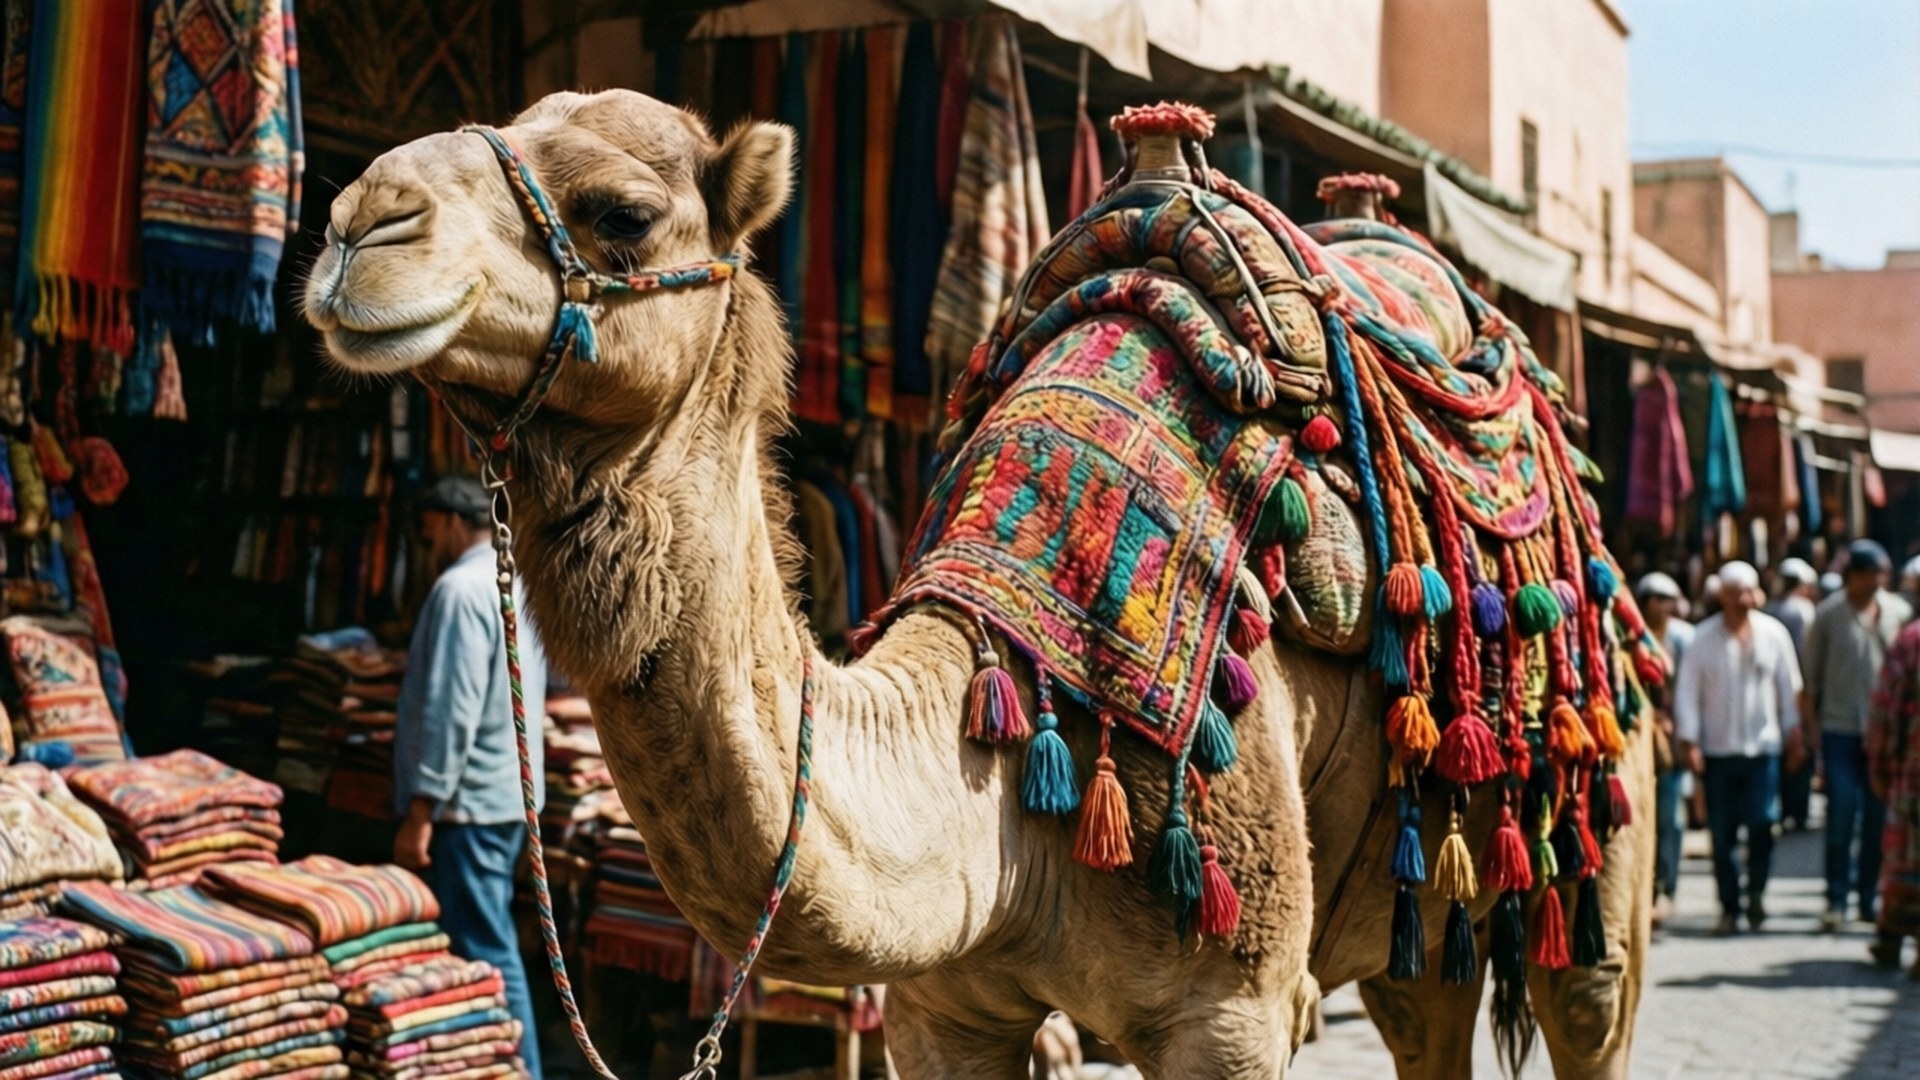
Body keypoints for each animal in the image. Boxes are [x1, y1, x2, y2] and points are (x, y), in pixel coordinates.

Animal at [304, 89, 1654, 1078]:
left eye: (624, 215)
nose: (359, 219)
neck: (997, 778)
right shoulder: (940, 1013)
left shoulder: (1230, 1013)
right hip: (1428, 914)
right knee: (1430, 1007)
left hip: (1598, 829)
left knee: (1587, 1001)